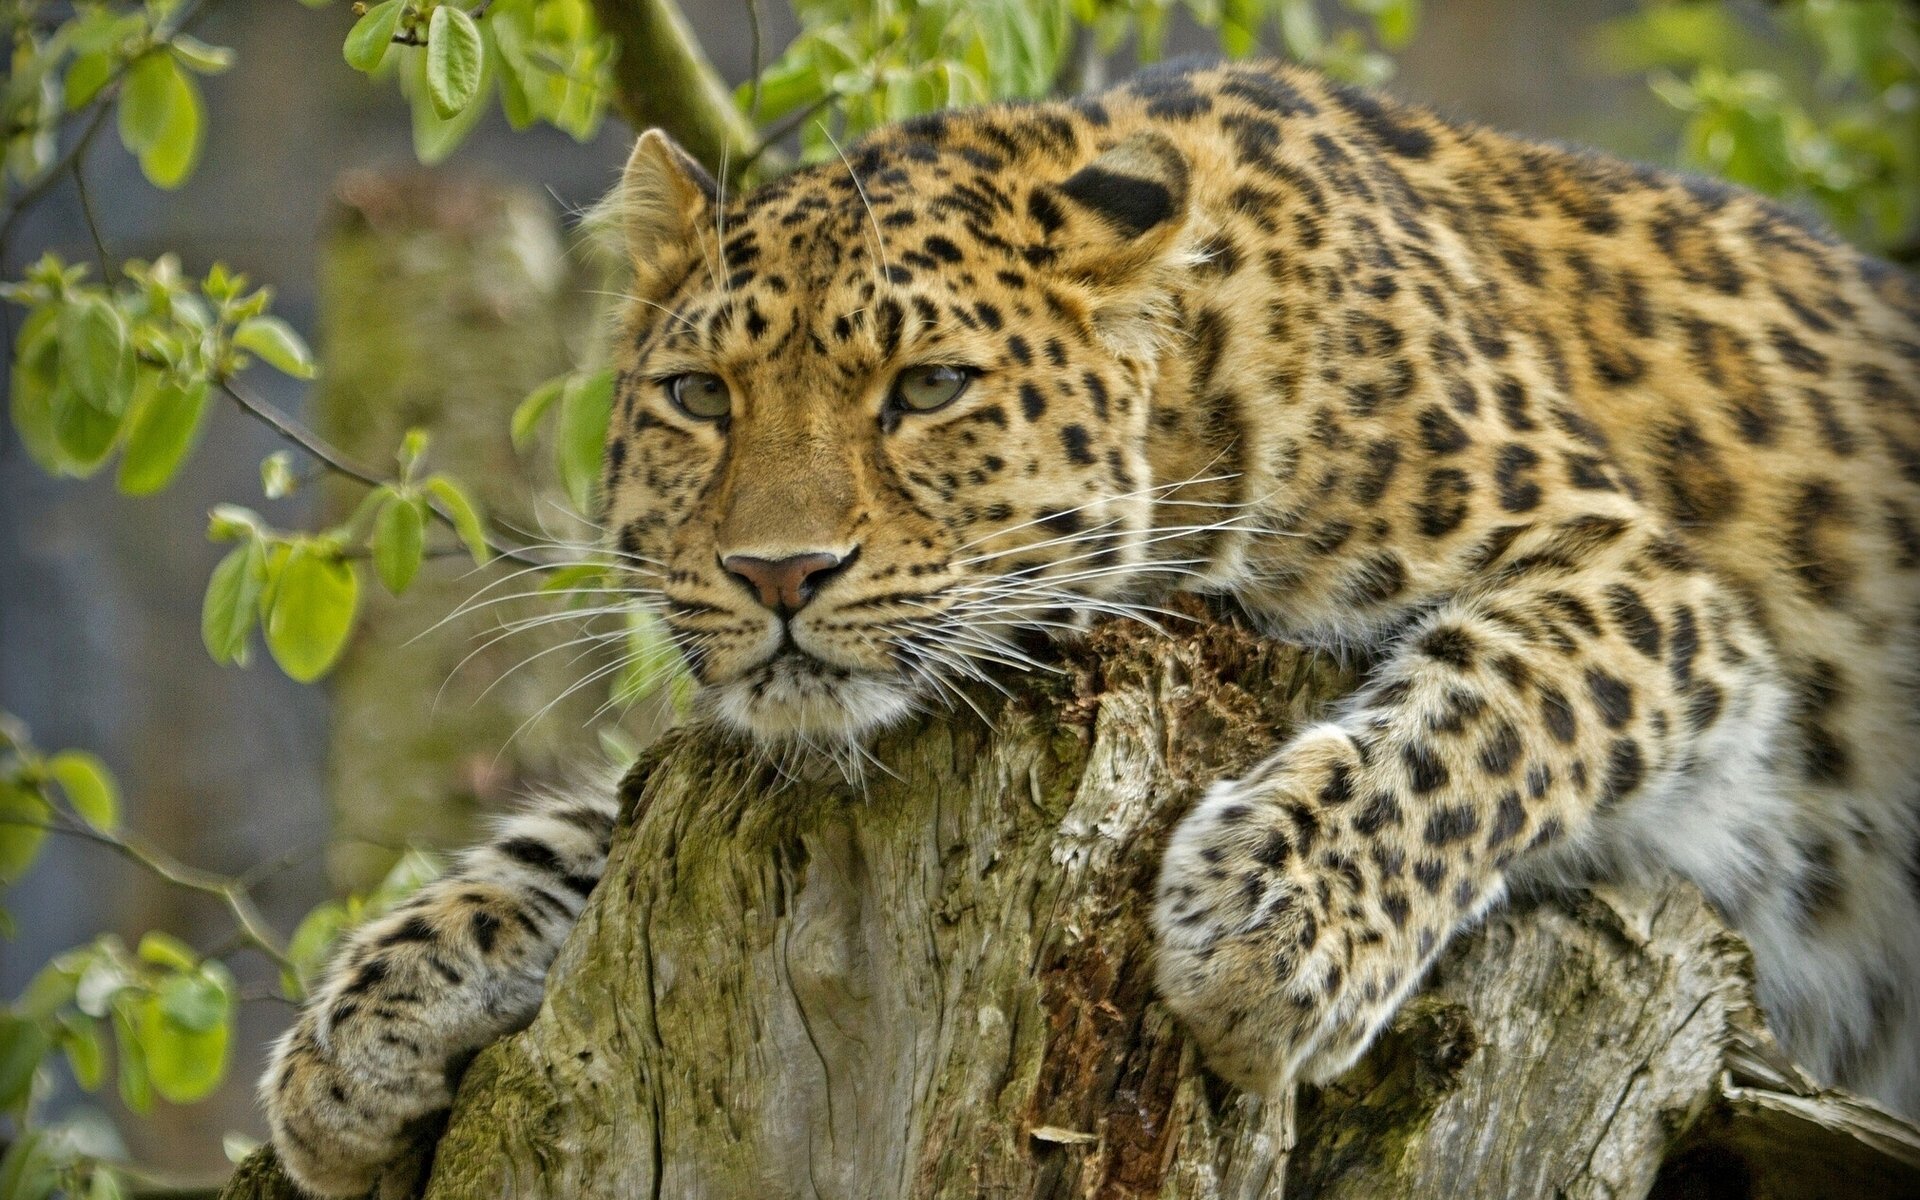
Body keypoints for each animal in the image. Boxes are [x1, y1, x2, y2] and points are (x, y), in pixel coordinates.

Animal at [259, 60, 1920, 1190]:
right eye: (699, 396)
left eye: (927, 389)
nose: (778, 572)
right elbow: (589, 825)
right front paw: (368, 1019)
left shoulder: (1647, 588)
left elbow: (1484, 719)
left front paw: (1271, 928)